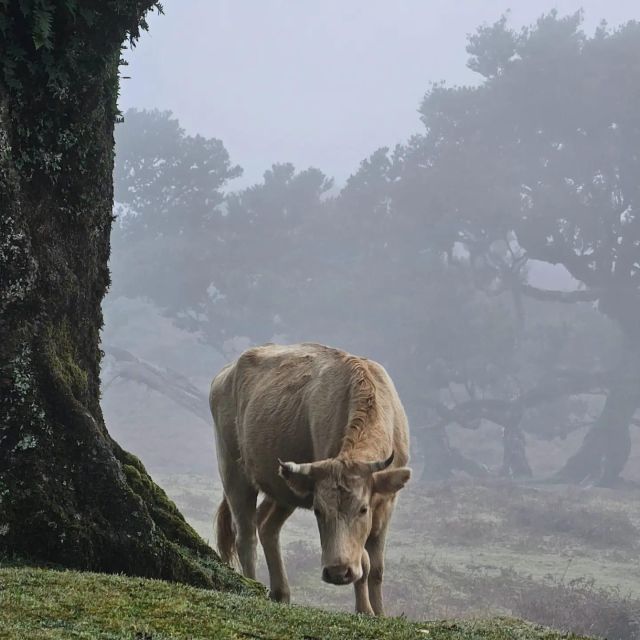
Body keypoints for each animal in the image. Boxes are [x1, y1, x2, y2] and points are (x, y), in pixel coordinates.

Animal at [210, 342, 410, 616]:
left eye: (362, 509)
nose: (338, 572)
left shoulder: (387, 503)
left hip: (283, 489)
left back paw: (281, 593)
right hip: (232, 470)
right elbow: (365, 562)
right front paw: (364, 610)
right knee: (246, 535)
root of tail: (225, 374)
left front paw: (379, 613)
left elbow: (377, 568)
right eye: (317, 511)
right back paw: (252, 586)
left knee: (267, 525)